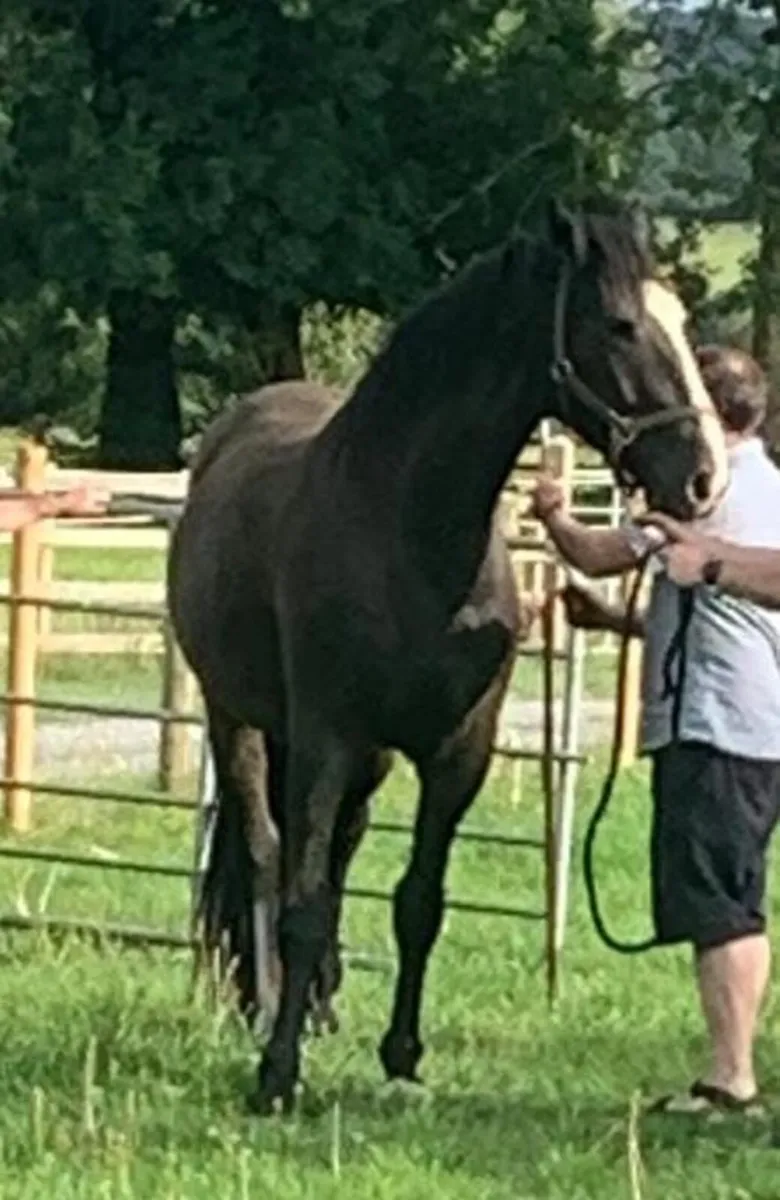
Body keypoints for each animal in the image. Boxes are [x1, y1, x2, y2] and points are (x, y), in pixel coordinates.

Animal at [167, 201, 729, 1114]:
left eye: (681, 320)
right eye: (619, 324)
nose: (703, 479)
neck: (411, 535)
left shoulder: (456, 750)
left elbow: (417, 902)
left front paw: (401, 1055)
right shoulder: (326, 736)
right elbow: (301, 898)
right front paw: (278, 1073)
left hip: (364, 763)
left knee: (337, 851)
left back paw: (317, 1006)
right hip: (240, 721)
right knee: (264, 856)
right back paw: (271, 1007)